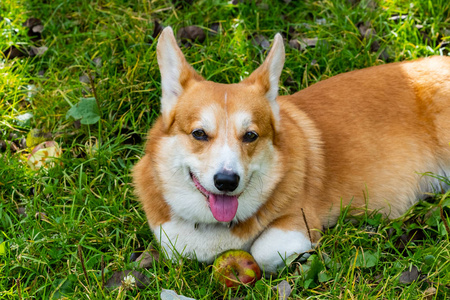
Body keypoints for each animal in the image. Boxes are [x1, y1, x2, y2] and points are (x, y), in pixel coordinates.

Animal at [133, 27, 450, 274]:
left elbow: (262, 251)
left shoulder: (299, 220)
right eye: (199, 134)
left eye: (250, 136)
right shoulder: (172, 241)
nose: (226, 182)